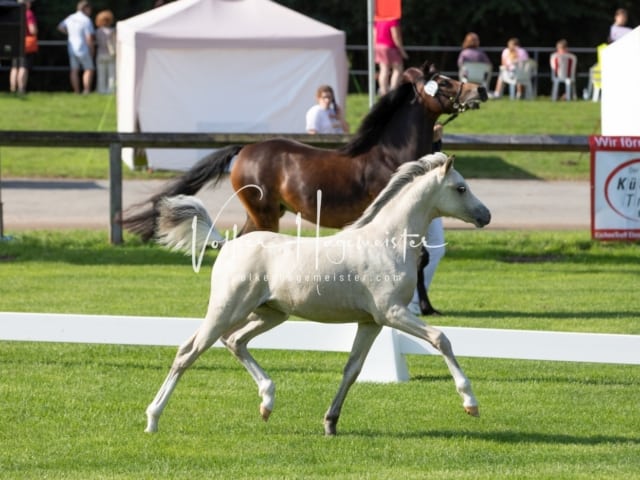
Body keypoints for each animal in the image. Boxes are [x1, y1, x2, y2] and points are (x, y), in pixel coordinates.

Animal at [122, 61, 488, 316]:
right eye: (443, 81)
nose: (479, 90)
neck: (388, 155)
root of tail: (244, 149)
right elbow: (423, 257)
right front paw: (420, 306)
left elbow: (423, 257)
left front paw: (424, 305)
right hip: (265, 213)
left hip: (260, 215)